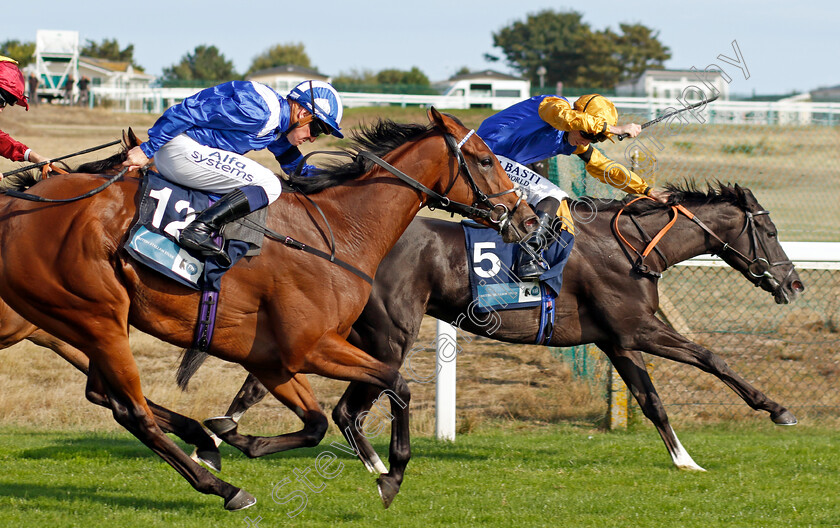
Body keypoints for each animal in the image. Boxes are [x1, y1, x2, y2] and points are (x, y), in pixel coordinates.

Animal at [0, 109, 536, 510]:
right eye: (485, 160)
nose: (529, 219)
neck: (339, 231)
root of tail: (16, 208)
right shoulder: (311, 347)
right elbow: (395, 383)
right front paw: (393, 472)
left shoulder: (273, 358)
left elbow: (316, 423)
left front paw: (233, 436)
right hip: (98, 315)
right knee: (132, 412)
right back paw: (224, 488)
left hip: (87, 321)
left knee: (106, 395)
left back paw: (203, 443)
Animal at [187, 183, 804, 474]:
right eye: (770, 231)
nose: (794, 282)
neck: (630, 247)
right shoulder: (637, 329)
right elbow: (712, 358)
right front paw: (778, 409)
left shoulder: (616, 340)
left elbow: (651, 401)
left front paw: (685, 460)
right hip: (389, 335)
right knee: (346, 407)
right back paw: (370, 463)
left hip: (351, 333)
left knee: (267, 380)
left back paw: (221, 433)